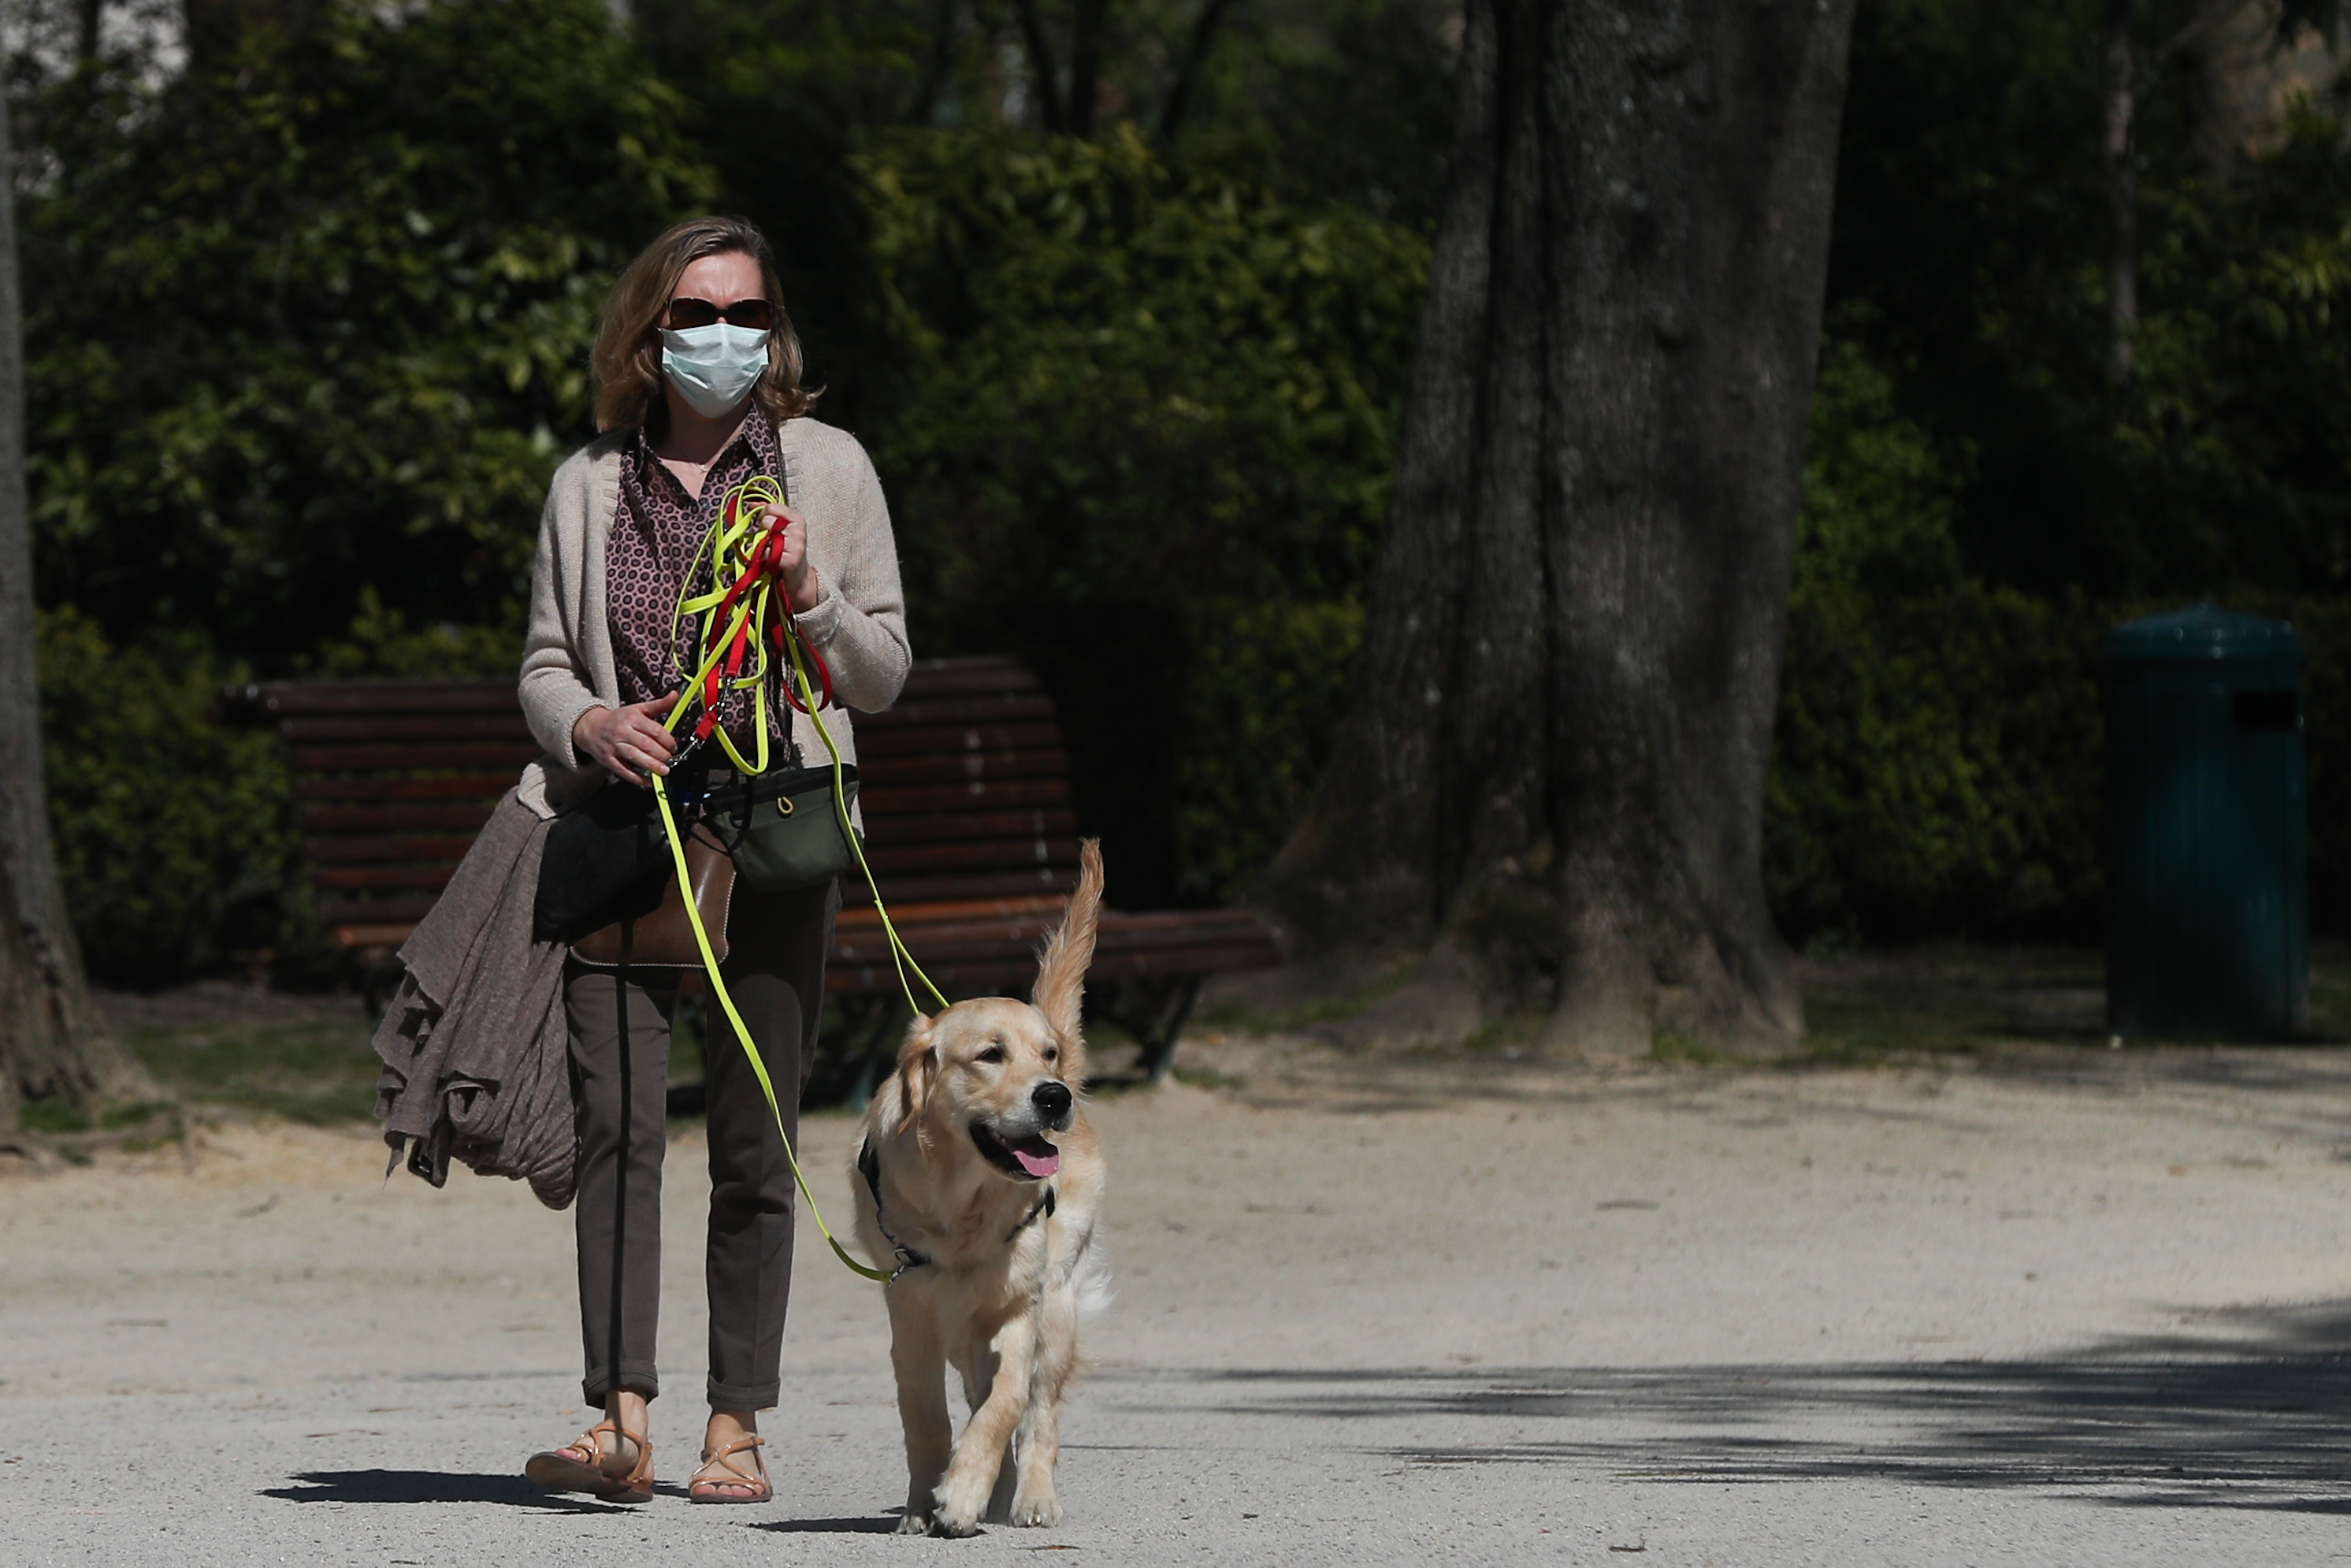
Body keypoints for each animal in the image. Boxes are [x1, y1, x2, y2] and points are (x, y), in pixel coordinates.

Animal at [856, 842, 1109, 1542]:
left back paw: (1029, 1497)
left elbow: (1006, 1405)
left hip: (1058, 1305)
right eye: (990, 1054)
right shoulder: (911, 1314)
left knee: (1038, 1415)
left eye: (1045, 1053)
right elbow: (925, 1420)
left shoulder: (1019, 1308)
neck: (960, 1203)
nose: (1055, 1096)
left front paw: (966, 1490)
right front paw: (927, 1502)